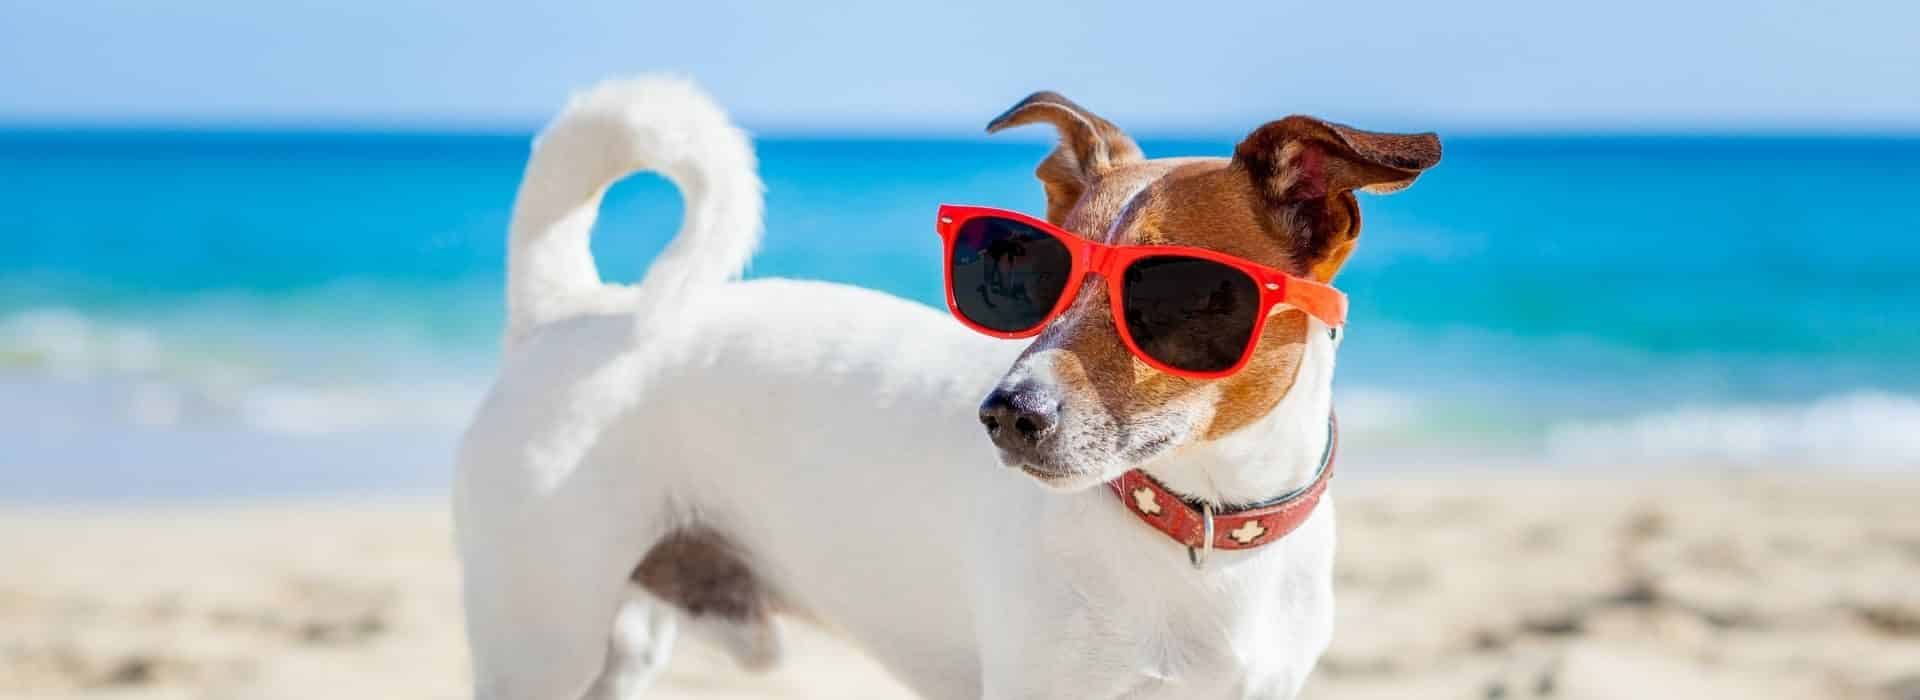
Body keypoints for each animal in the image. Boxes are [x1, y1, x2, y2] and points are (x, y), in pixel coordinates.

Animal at [453, 76, 1443, 698]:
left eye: (1181, 295)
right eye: (1029, 272)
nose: (1006, 416)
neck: (1198, 526)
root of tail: (573, 308)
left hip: (623, 645)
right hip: (542, 638)